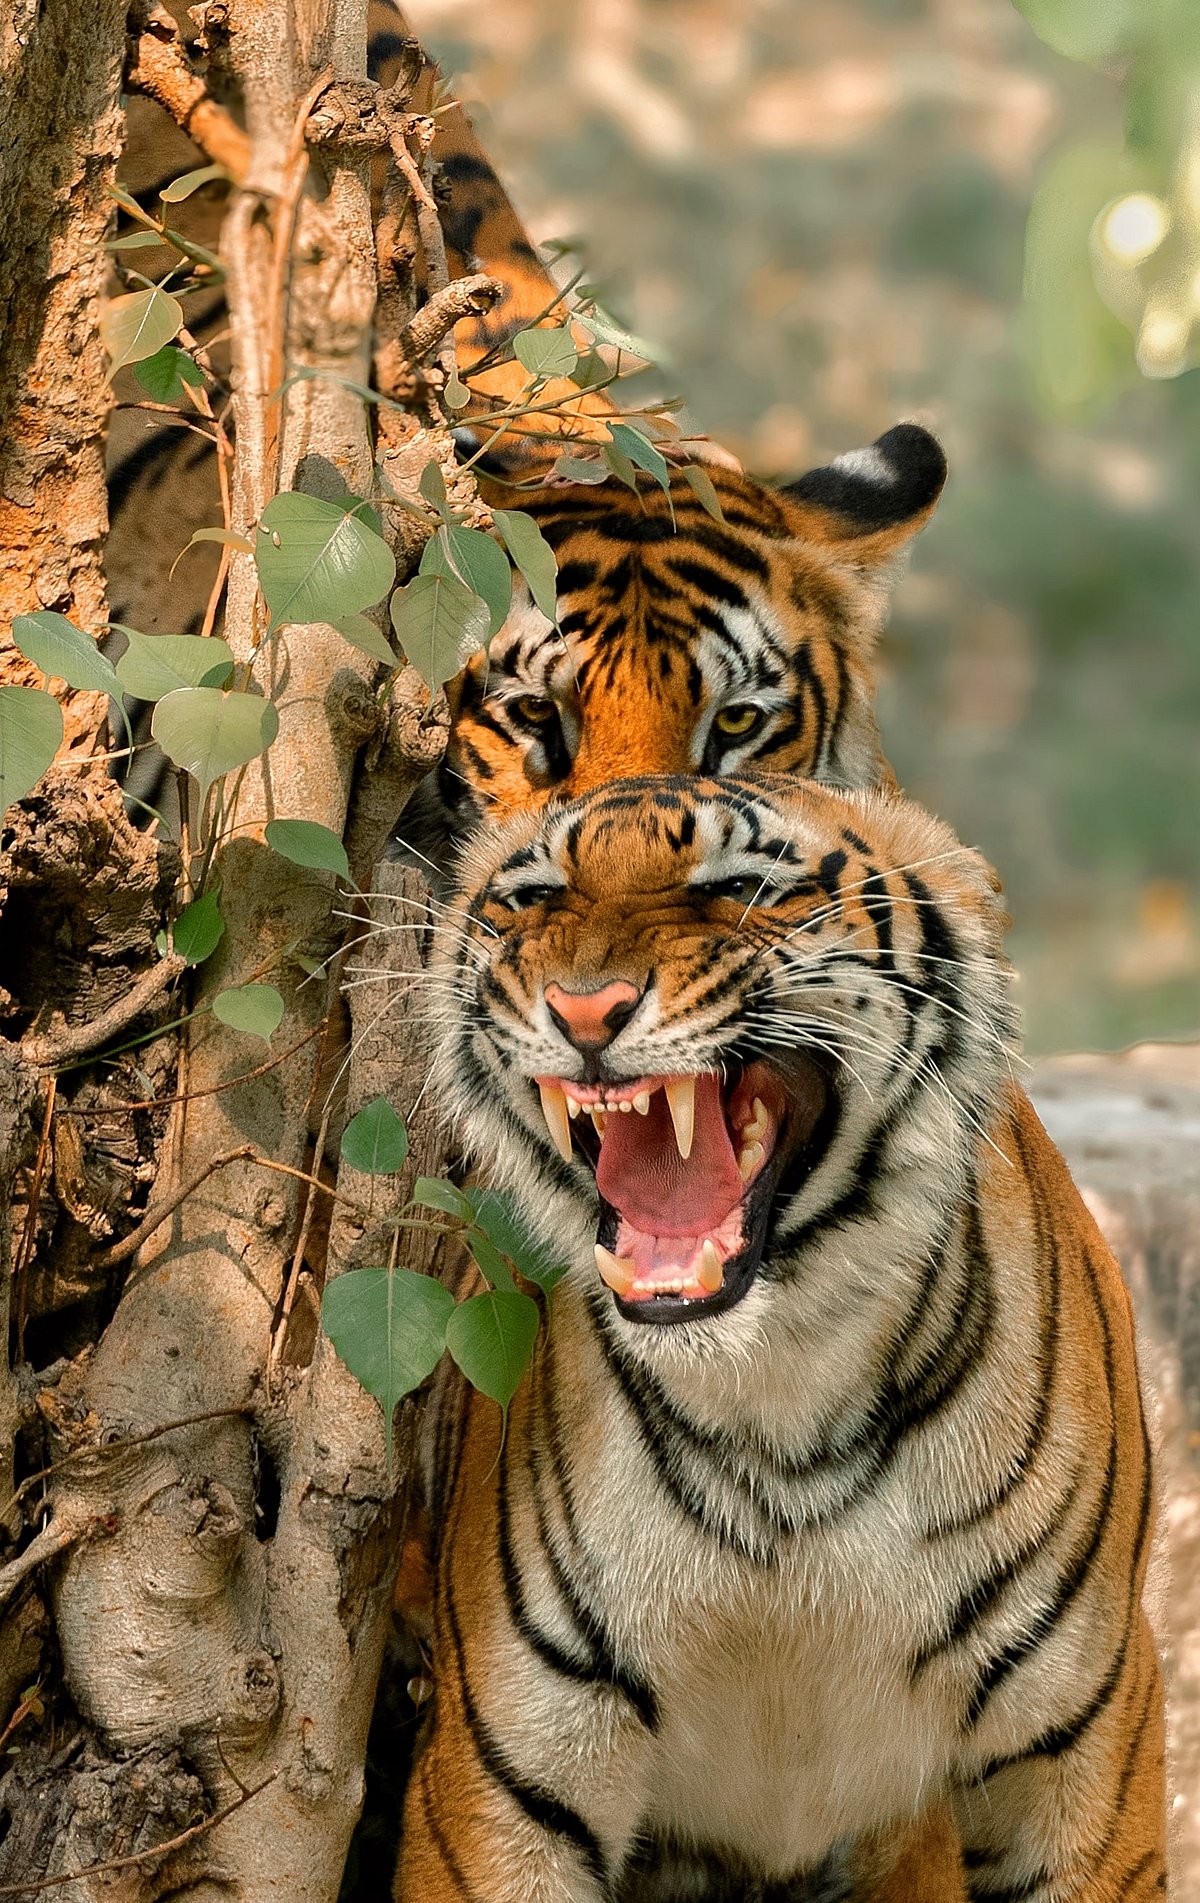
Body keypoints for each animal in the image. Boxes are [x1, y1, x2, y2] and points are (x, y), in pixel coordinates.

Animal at [397, 771, 1166, 1903]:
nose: (583, 1009)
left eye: (739, 887)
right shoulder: (511, 1775)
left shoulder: (1084, 1741)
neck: (777, 1382)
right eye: (532, 900)